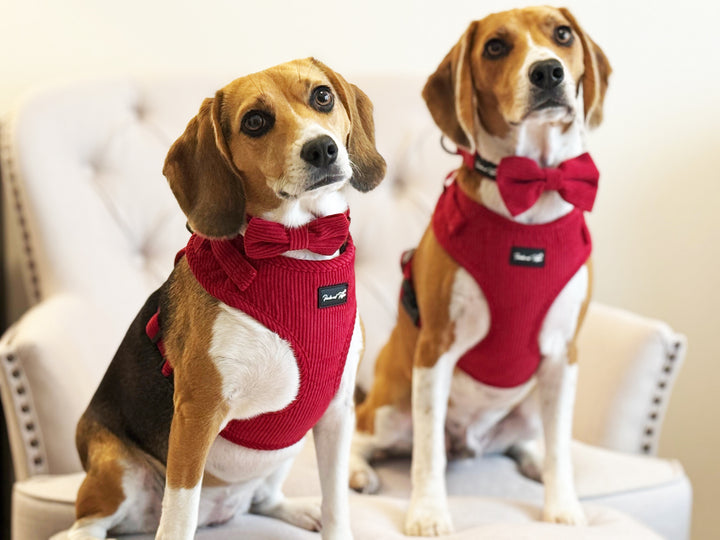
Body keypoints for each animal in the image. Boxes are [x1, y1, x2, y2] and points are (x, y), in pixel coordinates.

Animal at [67, 59, 386, 540]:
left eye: (322, 96)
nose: (322, 149)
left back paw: (297, 510)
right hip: (116, 469)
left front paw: (329, 518)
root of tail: (219, 513)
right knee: (86, 526)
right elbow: (178, 519)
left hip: (286, 449)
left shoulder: (336, 414)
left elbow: (337, 506)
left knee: (262, 499)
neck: (295, 250)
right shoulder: (195, 417)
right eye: (254, 121)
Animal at [352, 7, 612, 536]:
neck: (532, 189)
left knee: (528, 439)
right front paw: (428, 512)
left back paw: (530, 459)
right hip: (390, 408)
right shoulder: (435, 351)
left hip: (529, 404)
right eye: (495, 46)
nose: (548, 71)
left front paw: (563, 506)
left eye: (563, 34)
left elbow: (561, 447)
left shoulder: (564, 355)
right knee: (365, 436)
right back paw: (359, 470)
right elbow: (427, 453)